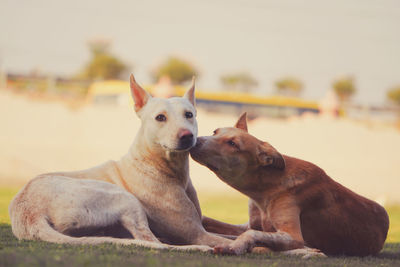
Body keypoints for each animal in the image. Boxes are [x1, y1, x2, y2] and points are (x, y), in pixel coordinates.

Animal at [8, 75, 234, 251]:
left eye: (189, 115)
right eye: (160, 118)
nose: (187, 136)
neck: (158, 166)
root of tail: (29, 215)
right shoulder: (197, 233)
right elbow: (231, 239)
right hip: (125, 199)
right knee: (154, 242)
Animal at [190, 113, 388, 258]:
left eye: (232, 143)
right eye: (215, 132)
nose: (194, 140)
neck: (266, 187)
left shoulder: (292, 236)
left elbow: (252, 234)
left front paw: (234, 246)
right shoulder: (247, 224)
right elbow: (212, 221)